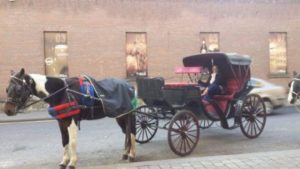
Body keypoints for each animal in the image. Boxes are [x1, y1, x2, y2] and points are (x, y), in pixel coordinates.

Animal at [3, 68, 137, 169]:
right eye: (7, 89)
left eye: (18, 89)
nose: (7, 110)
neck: (62, 93)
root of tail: (129, 86)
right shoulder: (61, 122)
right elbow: (64, 141)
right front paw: (64, 161)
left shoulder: (71, 121)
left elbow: (72, 142)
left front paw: (72, 162)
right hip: (120, 116)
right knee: (126, 132)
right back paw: (126, 153)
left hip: (129, 114)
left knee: (131, 132)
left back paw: (132, 154)